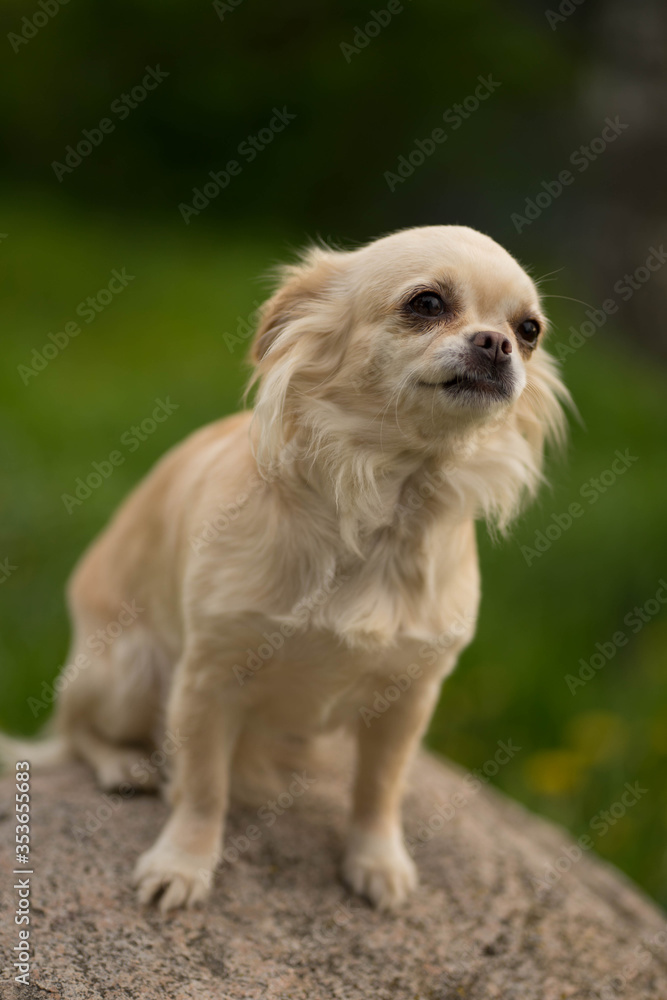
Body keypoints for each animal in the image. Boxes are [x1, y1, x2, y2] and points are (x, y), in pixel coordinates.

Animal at [2, 229, 572, 916]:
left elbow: (380, 789)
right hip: (128, 670)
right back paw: (122, 765)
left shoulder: (410, 696)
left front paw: (376, 860)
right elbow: (204, 788)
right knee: (74, 731)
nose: (498, 342)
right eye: (427, 303)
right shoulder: (207, 679)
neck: (386, 505)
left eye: (530, 330)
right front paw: (183, 863)